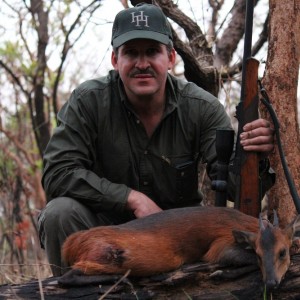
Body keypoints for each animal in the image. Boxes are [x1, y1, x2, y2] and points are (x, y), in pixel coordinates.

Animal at [59, 206, 298, 288]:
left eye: (282, 252)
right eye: (258, 254)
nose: (271, 283)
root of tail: (70, 244)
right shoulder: (219, 246)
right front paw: (220, 273)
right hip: (108, 255)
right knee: (66, 277)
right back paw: (121, 280)